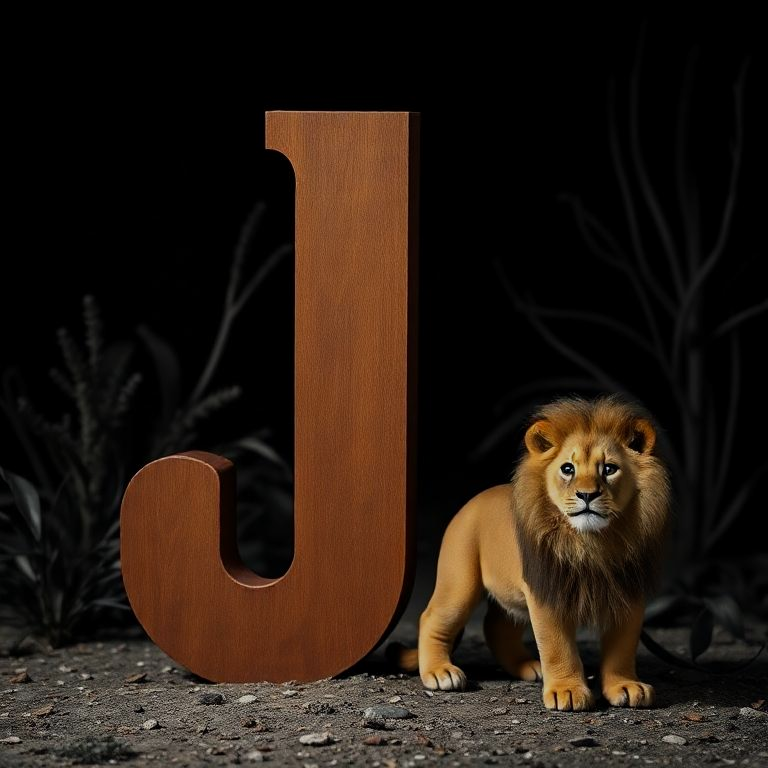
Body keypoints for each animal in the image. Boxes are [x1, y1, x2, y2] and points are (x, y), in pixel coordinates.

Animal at [388, 394, 670, 711]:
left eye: (609, 469)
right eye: (568, 469)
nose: (587, 495)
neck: (594, 541)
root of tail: (475, 500)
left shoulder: (630, 590)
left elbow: (623, 646)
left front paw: (625, 685)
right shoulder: (547, 590)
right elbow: (557, 646)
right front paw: (567, 691)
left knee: (496, 628)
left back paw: (529, 667)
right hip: (459, 583)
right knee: (431, 618)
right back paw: (440, 672)